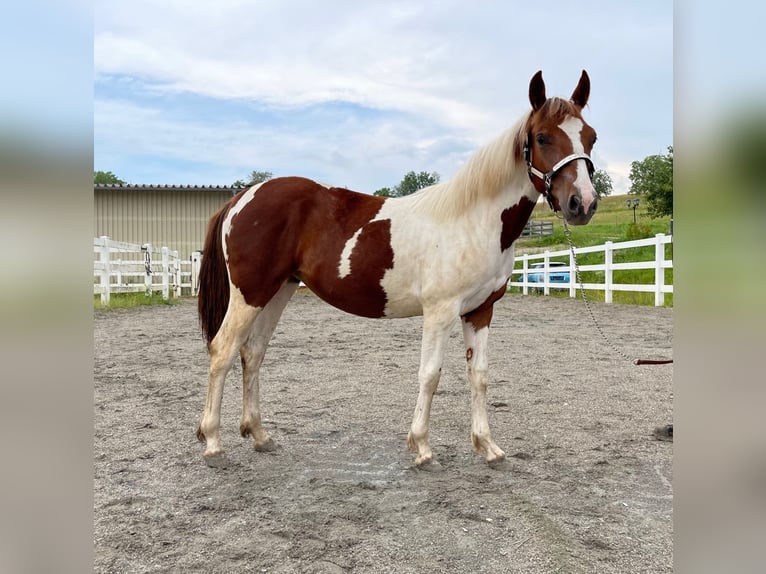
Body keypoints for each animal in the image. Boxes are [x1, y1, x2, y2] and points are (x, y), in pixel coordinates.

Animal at [196, 71, 600, 468]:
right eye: (542, 137)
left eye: (591, 138)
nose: (582, 204)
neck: (473, 220)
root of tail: (241, 198)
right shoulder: (440, 311)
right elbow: (430, 374)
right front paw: (422, 448)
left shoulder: (481, 311)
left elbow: (479, 376)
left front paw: (487, 446)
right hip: (250, 294)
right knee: (223, 351)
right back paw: (213, 443)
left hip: (277, 291)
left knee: (253, 353)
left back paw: (260, 435)